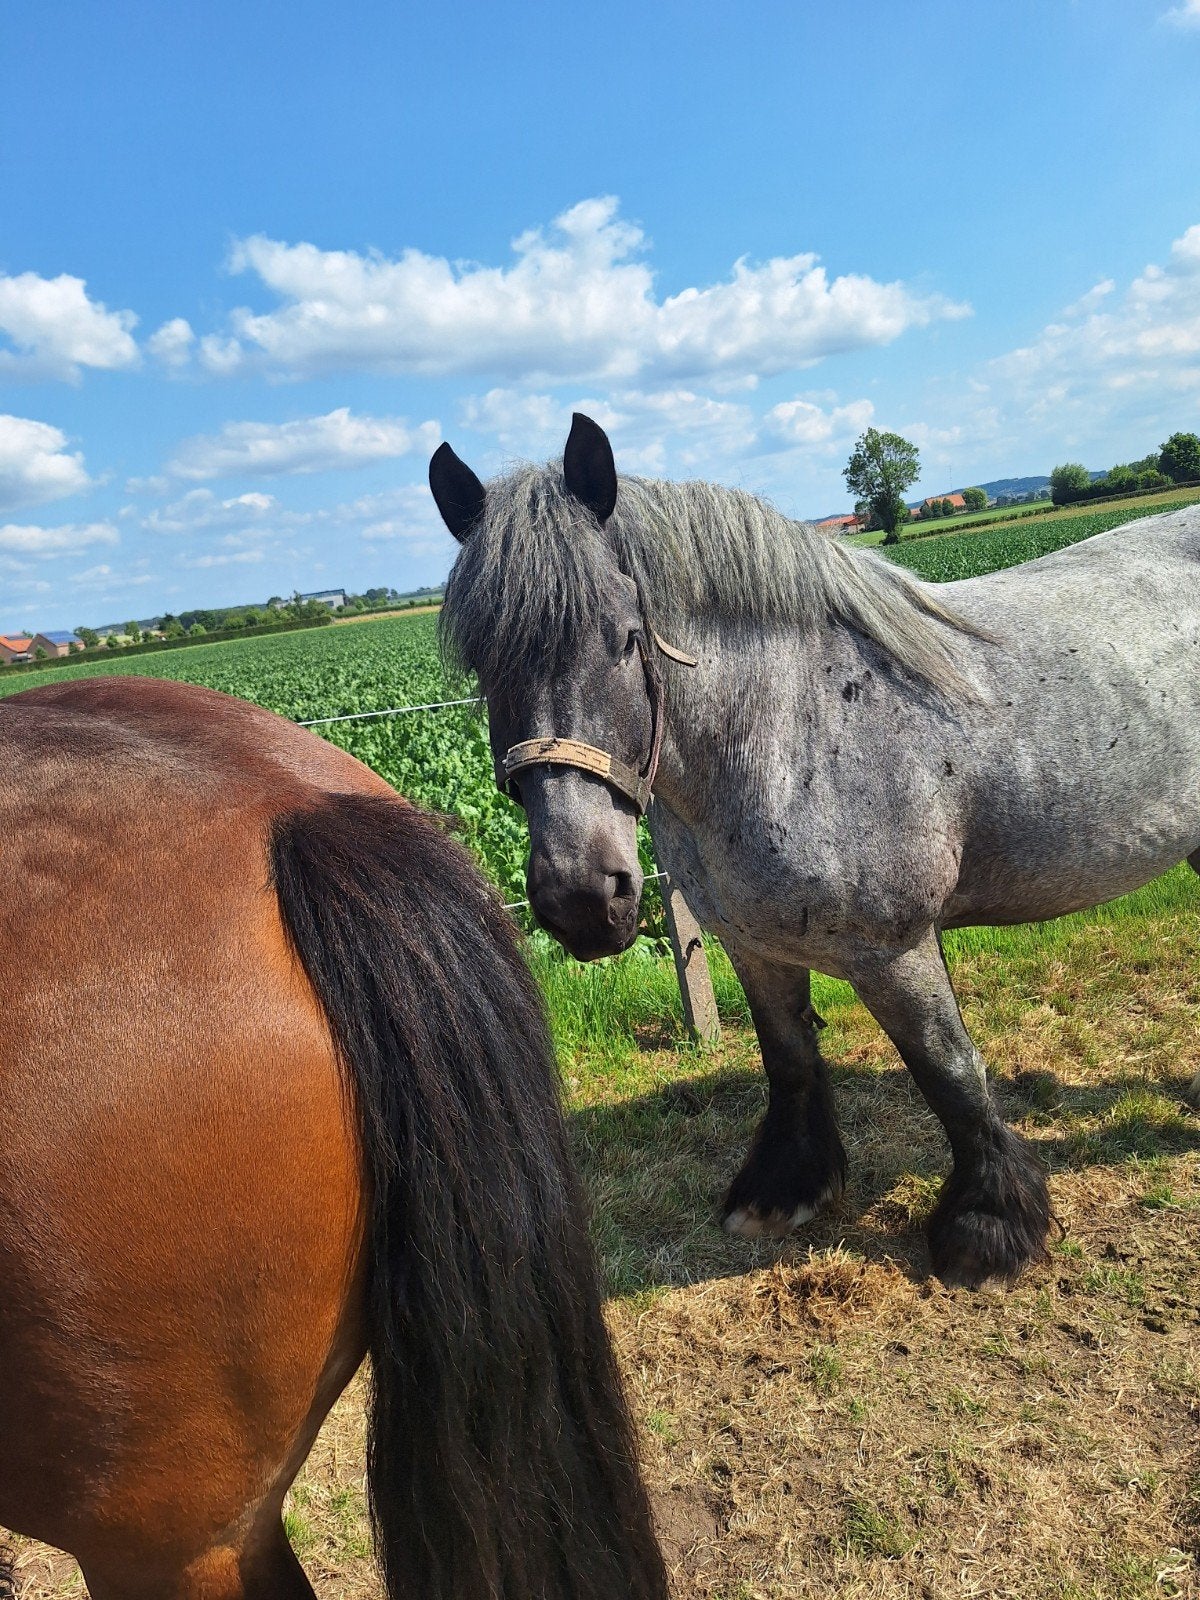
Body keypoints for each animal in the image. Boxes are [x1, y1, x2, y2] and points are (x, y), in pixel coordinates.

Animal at [430, 413, 1200, 1289]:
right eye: (481, 665)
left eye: (627, 639)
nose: (581, 899)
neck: (787, 726)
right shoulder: (753, 944)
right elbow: (790, 1057)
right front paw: (784, 1190)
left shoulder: (896, 949)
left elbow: (949, 1070)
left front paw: (988, 1230)